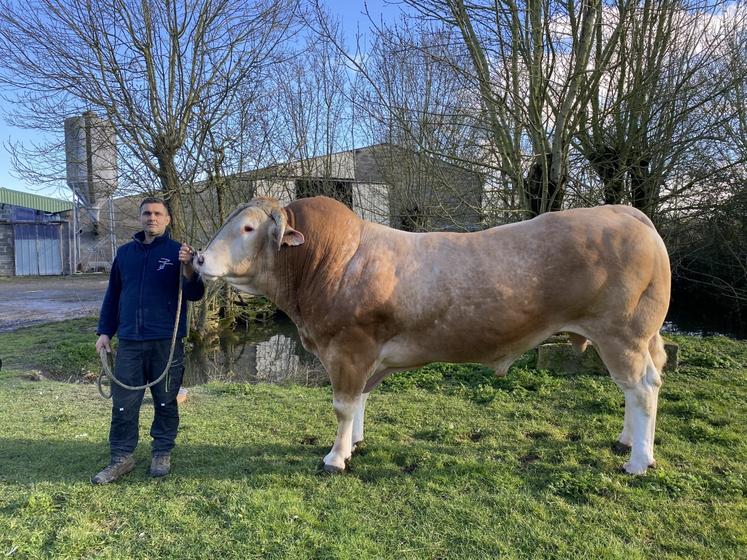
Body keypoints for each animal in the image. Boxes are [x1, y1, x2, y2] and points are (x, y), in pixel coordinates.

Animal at [193, 195, 672, 474]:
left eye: (248, 228)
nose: (197, 257)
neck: (326, 262)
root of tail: (625, 212)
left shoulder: (346, 348)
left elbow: (343, 406)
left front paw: (335, 456)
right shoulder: (364, 355)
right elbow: (361, 400)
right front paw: (355, 445)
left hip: (622, 334)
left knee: (642, 388)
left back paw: (639, 460)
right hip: (637, 337)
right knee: (640, 386)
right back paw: (628, 440)